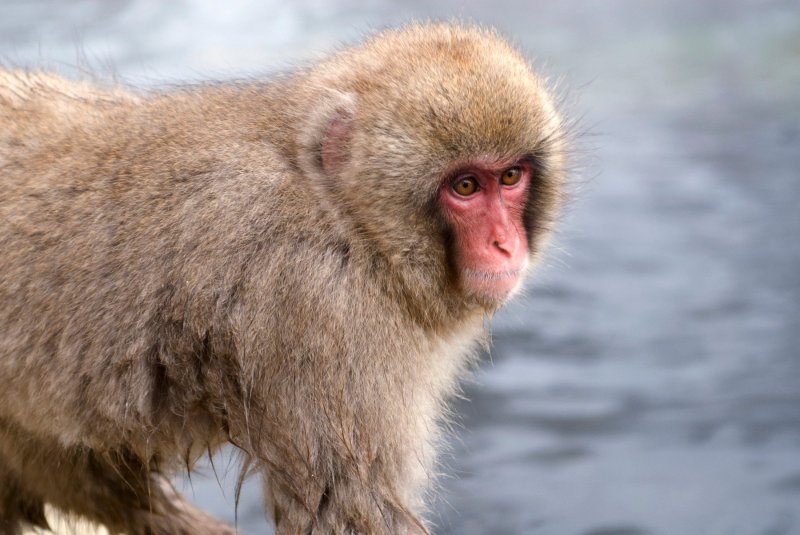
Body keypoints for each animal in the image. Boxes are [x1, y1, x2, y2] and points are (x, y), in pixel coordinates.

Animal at [0, 23, 568, 532]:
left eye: (511, 177)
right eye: (465, 186)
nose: (504, 244)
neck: (343, 217)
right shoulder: (319, 308)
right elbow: (345, 509)